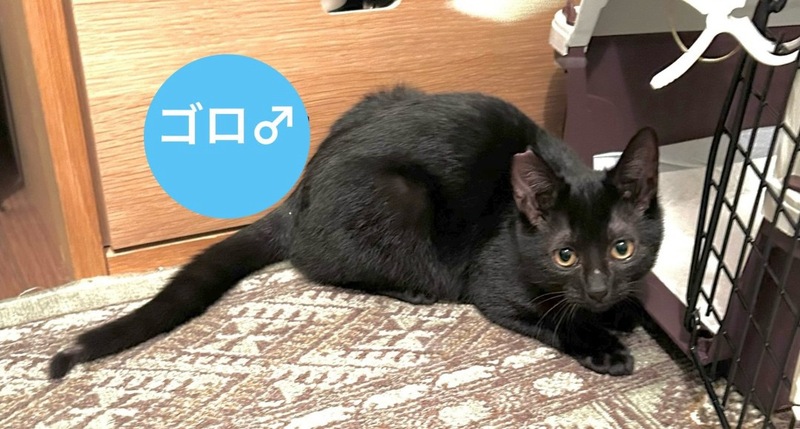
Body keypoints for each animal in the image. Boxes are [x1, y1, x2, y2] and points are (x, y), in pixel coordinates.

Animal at [49, 85, 663, 379]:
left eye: (622, 247)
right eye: (564, 256)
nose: (599, 287)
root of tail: (296, 195)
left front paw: (625, 310)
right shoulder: (494, 285)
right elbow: (553, 318)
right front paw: (603, 343)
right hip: (401, 198)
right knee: (325, 267)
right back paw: (411, 289)